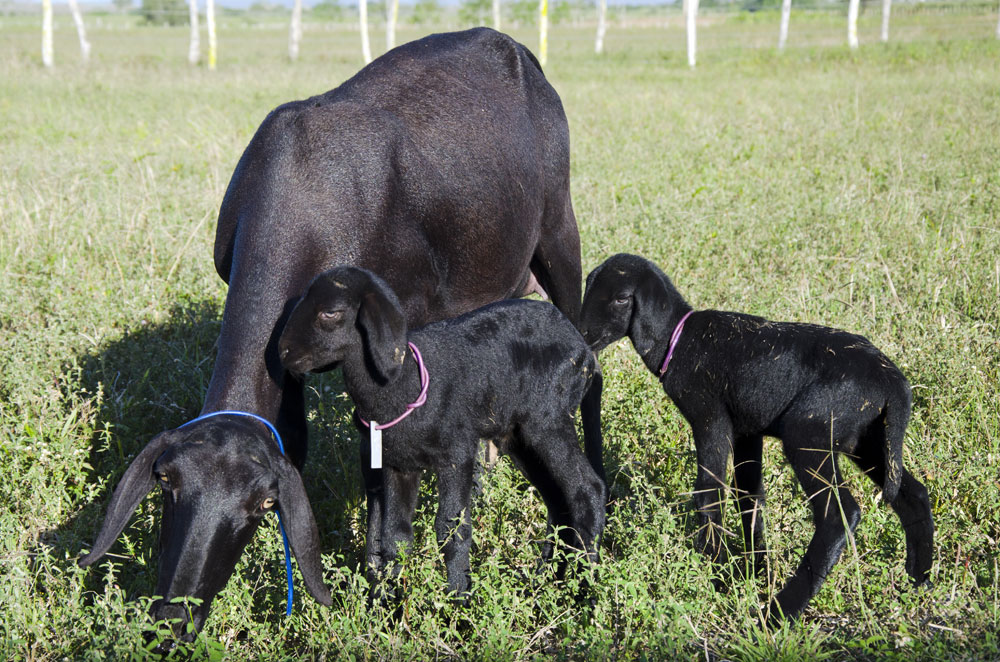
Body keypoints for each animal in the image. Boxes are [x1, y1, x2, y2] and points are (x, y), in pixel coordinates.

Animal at [278, 266, 604, 608]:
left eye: (331, 312)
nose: (283, 352)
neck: (404, 384)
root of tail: (582, 348)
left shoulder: (457, 454)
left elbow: (451, 529)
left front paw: (459, 601)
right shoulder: (399, 465)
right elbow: (395, 535)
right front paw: (389, 605)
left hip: (549, 420)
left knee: (587, 488)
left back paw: (584, 587)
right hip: (520, 437)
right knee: (557, 499)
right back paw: (547, 579)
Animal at [576, 253, 932, 624]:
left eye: (621, 298)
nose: (582, 334)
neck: (677, 338)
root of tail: (894, 384)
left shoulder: (710, 417)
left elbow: (709, 493)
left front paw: (716, 574)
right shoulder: (748, 431)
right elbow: (748, 495)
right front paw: (753, 570)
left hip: (810, 433)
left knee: (839, 514)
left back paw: (780, 611)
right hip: (868, 440)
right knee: (914, 495)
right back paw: (917, 581)